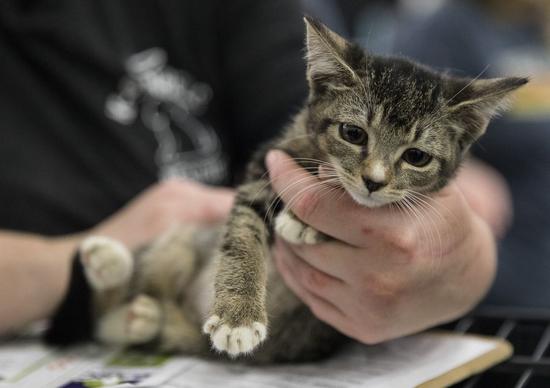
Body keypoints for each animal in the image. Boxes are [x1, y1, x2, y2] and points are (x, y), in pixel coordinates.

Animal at [45, 17, 528, 364]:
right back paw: (108, 262)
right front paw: (238, 316)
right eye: (353, 133)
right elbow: (242, 237)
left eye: (416, 157)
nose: (373, 180)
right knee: (109, 304)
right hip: (181, 245)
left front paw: (304, 219)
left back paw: (140, 315)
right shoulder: (265, 164)